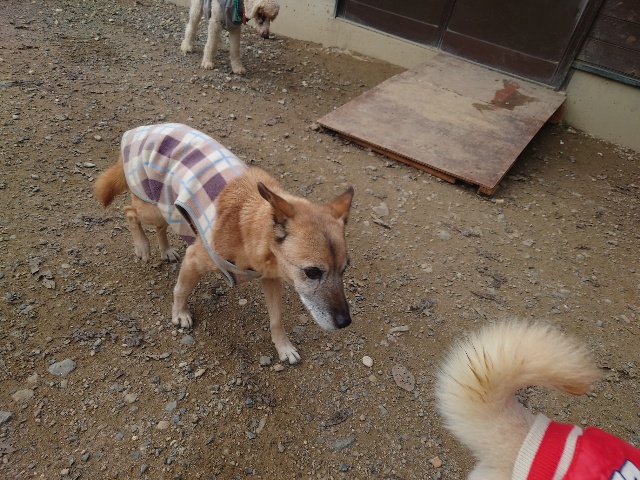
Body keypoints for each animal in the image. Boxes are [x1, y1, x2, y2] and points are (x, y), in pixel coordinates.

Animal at [93, 123, 353, 364]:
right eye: (312, 272)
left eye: (344, 269)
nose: (345, 322)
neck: (247, 227)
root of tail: (142, 128)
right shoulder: (195, 259)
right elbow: (181, 289)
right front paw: (180, 314)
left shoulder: (271, 280)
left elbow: (276, 319)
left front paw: (284, 347)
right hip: (152, 209)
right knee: (129, 212)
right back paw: (142, 246)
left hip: (165, 205)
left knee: (160, 226)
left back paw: (165, 250)